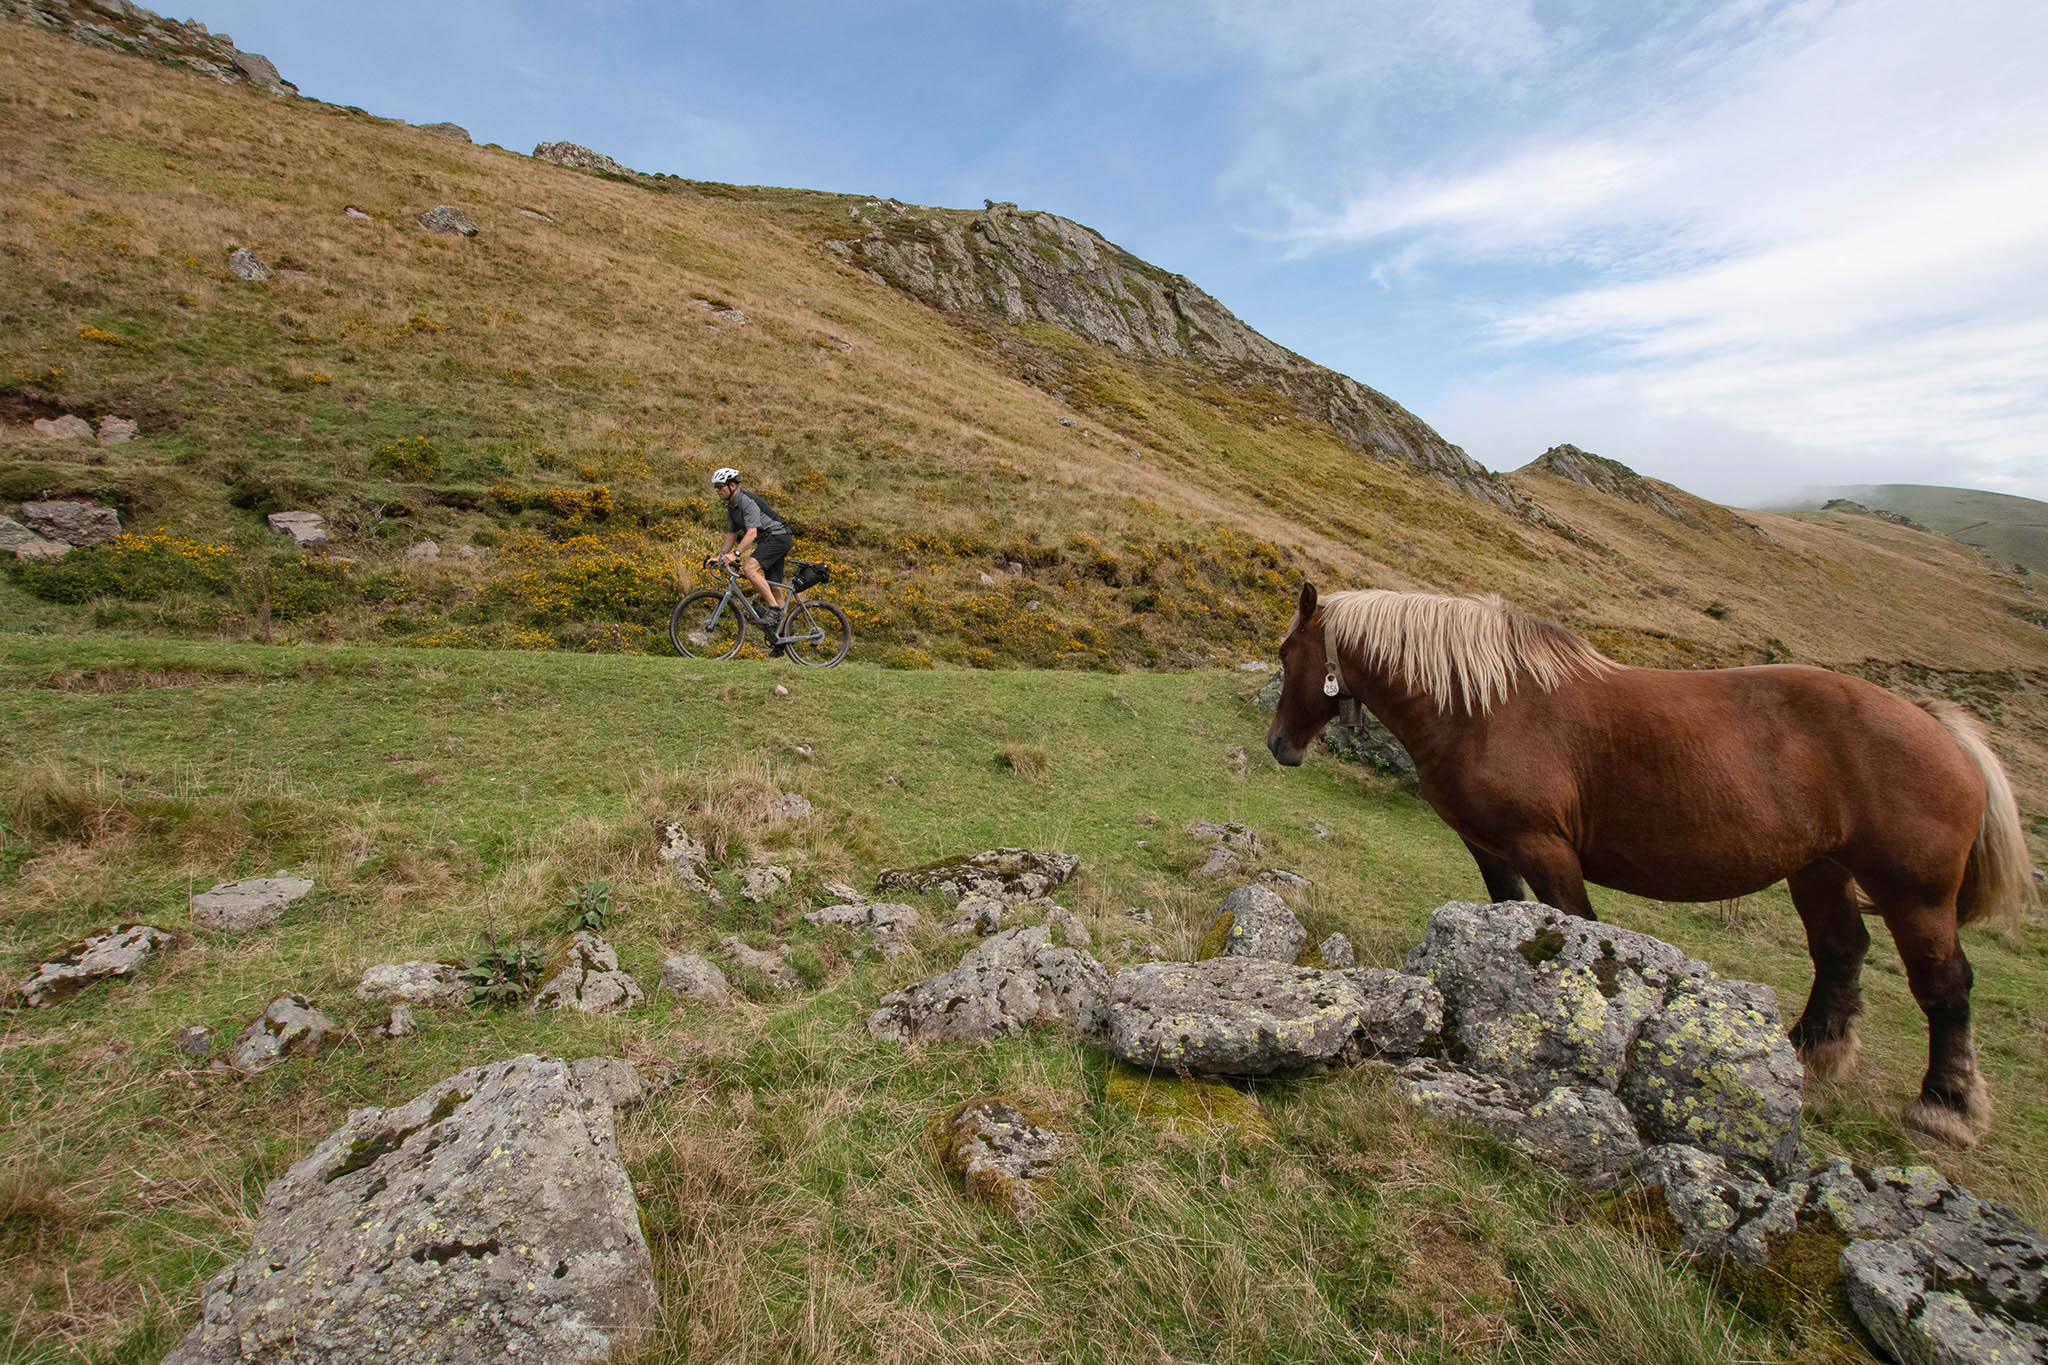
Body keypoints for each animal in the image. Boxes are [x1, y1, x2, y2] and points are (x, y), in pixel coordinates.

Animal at [1261, 581, 2031, 1146]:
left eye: (1284, 652)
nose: (1278, 745)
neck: (1484, 705)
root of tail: (1938, 726)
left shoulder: (1546, 847)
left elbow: (1577, 929)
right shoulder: (1492, 848)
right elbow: (1511, 916)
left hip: (1914, 892)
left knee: (1944, 983)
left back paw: (1944, 1106)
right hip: (1819, 869)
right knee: (1841, 951)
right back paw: (1808, 1055)